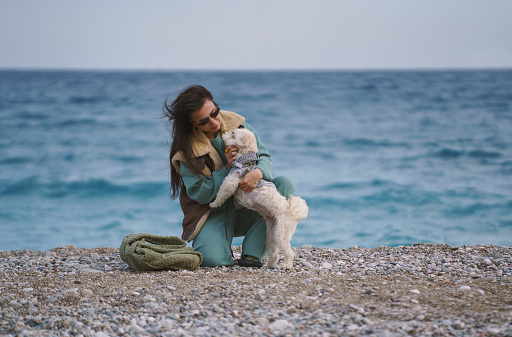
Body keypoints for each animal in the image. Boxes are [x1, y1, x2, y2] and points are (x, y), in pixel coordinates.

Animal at [208, 126, 308, 268]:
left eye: (233, 134)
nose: (224, 133)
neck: (245, 160)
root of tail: (291, 213)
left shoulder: (232, 180)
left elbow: (222, 192)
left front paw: (213, 204)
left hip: (281, 233)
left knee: (288, 252)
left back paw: (287, 265)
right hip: (271, 233)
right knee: (274, 251)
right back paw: (269, 264)